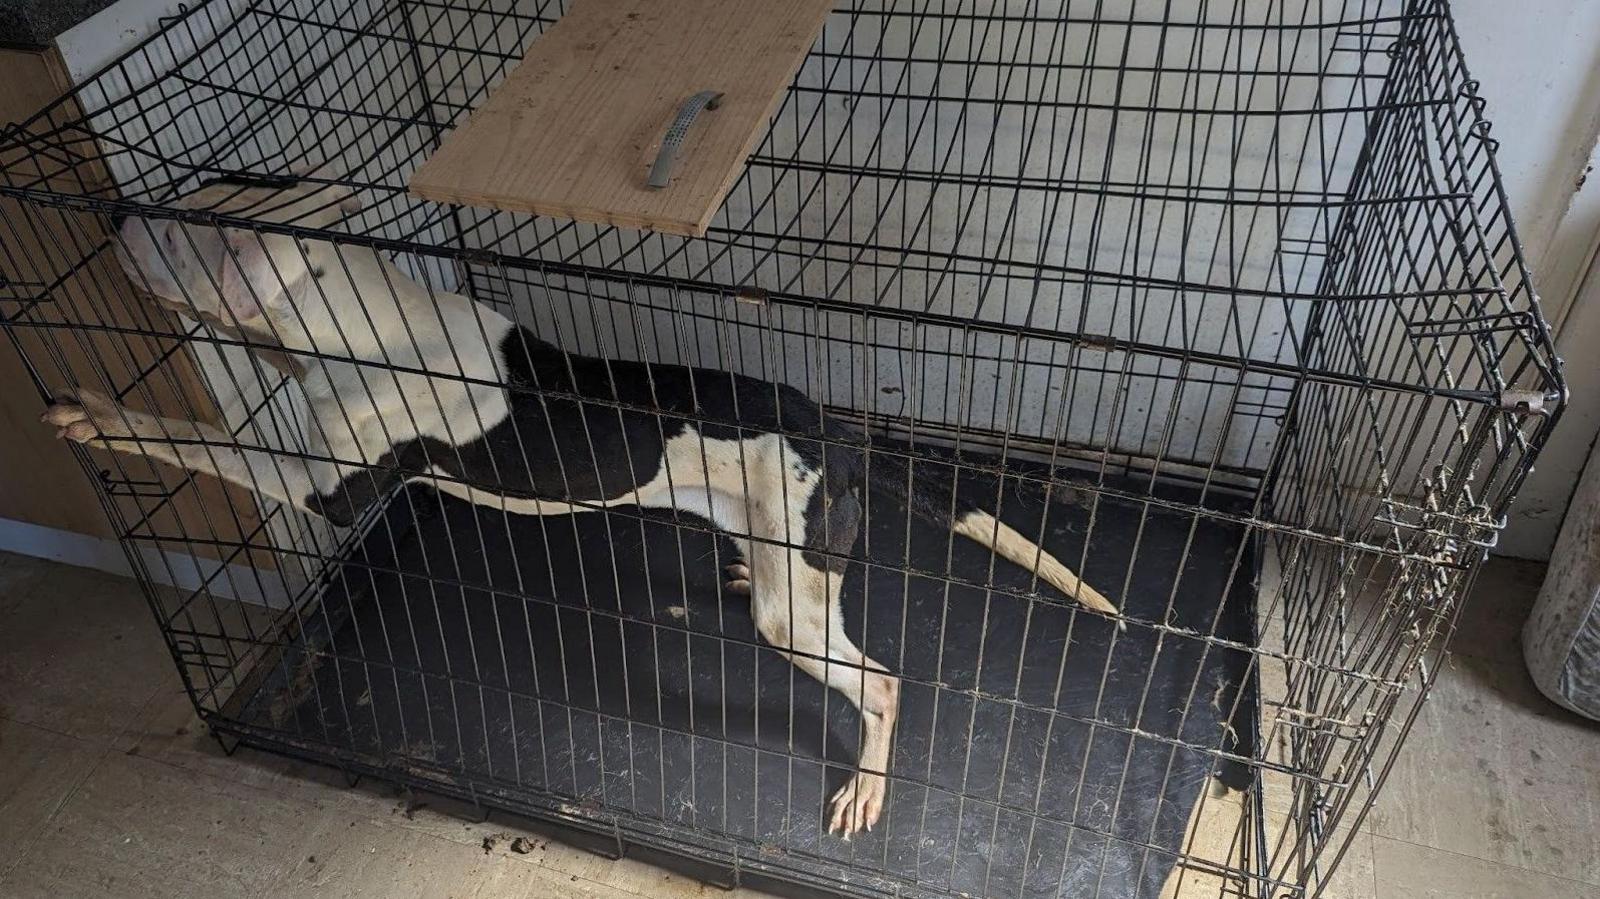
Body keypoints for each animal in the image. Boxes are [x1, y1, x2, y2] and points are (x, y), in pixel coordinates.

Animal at [40, 176, 1113, 831]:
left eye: (180, 224)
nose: (112, 208)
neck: (357, 319)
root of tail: (833, 429)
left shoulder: (320, 486)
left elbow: (193, 437)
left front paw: (104, 417)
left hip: (796, 609)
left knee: (879, 681)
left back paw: (865, 785)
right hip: (762, 538)